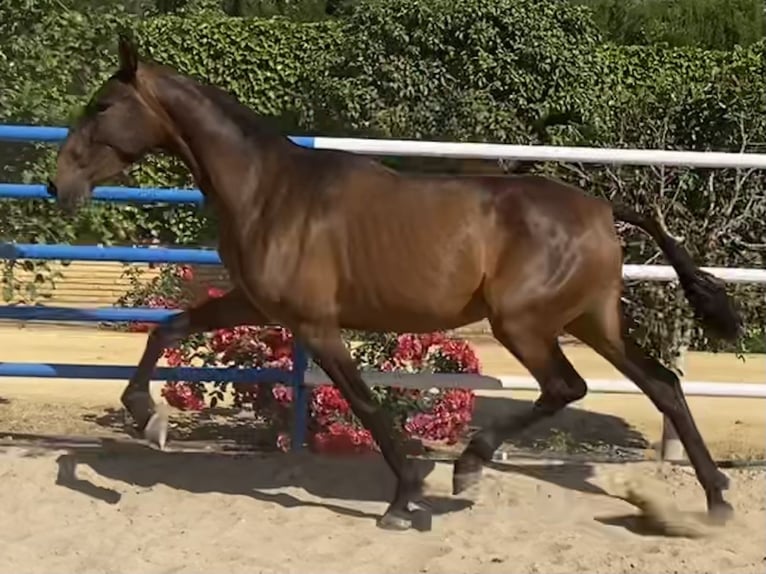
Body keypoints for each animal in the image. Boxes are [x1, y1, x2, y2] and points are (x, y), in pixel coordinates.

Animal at [48, 33, 744, 532]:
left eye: (102, 106)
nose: (59, 185)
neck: (271, 191)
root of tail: (603, 208)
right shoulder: (257, 303)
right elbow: (169, 326)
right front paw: (145, 415)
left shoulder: (315, 324)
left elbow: (365, 402)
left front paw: (405, 500)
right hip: (590, 320)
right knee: (663, 384)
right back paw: (716, 499)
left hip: (525, 323)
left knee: (567, 387)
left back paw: (468, 468)